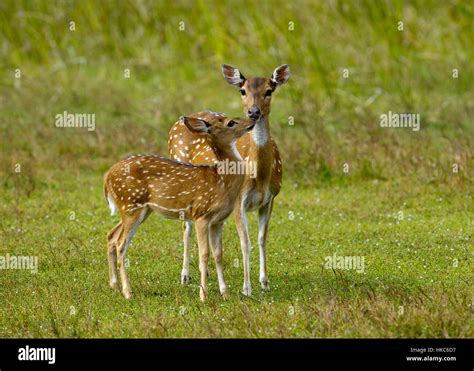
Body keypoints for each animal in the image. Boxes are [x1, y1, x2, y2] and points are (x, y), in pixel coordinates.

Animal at [105, 115, 256, 300]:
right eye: (231, 122)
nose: (253, 120)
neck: (221, 181)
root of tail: (107, 177)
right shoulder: (201, 214)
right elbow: (204, 254)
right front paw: (203, 295)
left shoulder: (218, 221)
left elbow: (218, 254)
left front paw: (225, 293)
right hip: (131, 203)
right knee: (121, 243)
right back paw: (127, 292)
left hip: (139, 210)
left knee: (111, 235)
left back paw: (114, 286)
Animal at [168, 64, 290, 296]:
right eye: (242, 90)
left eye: (269, 90)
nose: (253, 112)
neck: (259, 175)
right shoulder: (239, 201)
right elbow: (245, 243)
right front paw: (246, 288)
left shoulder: (270, 198)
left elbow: (262, 239)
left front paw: (264, 282)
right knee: (186, 227)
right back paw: (185, 276)